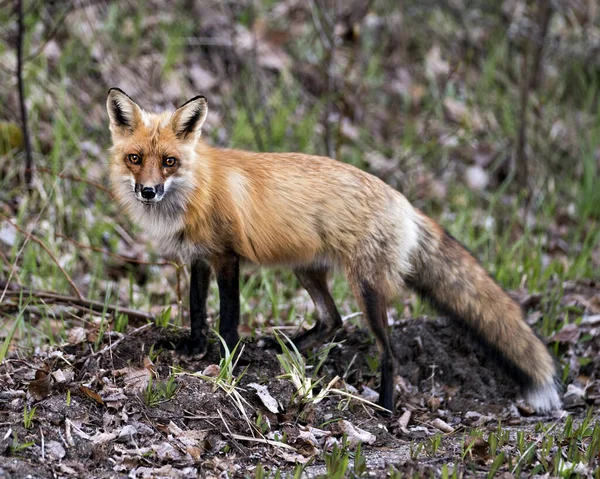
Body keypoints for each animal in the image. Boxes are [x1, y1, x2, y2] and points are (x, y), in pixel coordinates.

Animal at [105, 88, 560, 414]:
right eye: (135, 158)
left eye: (169, 161)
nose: (148, 191)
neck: (196, 189)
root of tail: (403, 201)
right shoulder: (199, 257)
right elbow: (198, 309)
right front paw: (196, 349)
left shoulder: (227, 257)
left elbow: (228, 316)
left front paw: (226, 361)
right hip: (307, 271)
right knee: (332, 320)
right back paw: (281, 350)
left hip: (367, 288)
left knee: (387, 352)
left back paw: (385, 408)